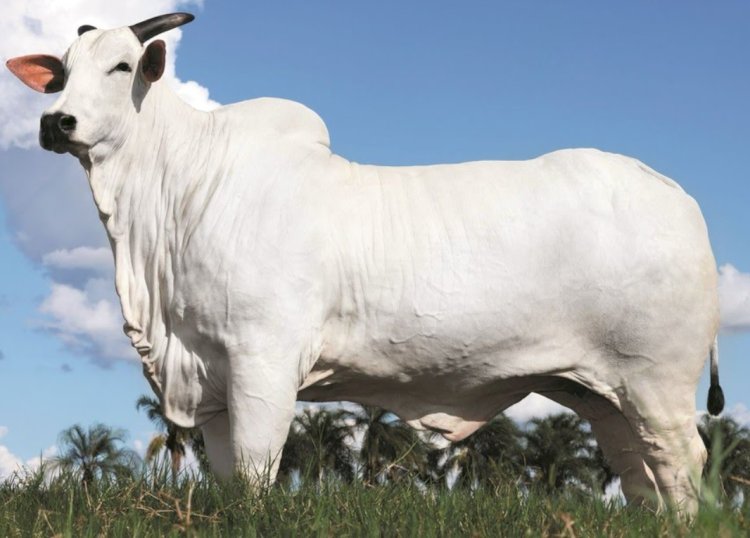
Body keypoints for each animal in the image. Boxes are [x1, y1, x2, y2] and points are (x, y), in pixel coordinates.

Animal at [7, 13, 724, 512]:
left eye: (122, 66)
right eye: (60, 72)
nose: (55, 122)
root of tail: (674, 193)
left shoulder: (264, 361)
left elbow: (257, 470)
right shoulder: (208, 376)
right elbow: (228, 475)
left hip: (657, 380)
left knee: (683, 460)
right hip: (603, 392)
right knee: (638, 469)